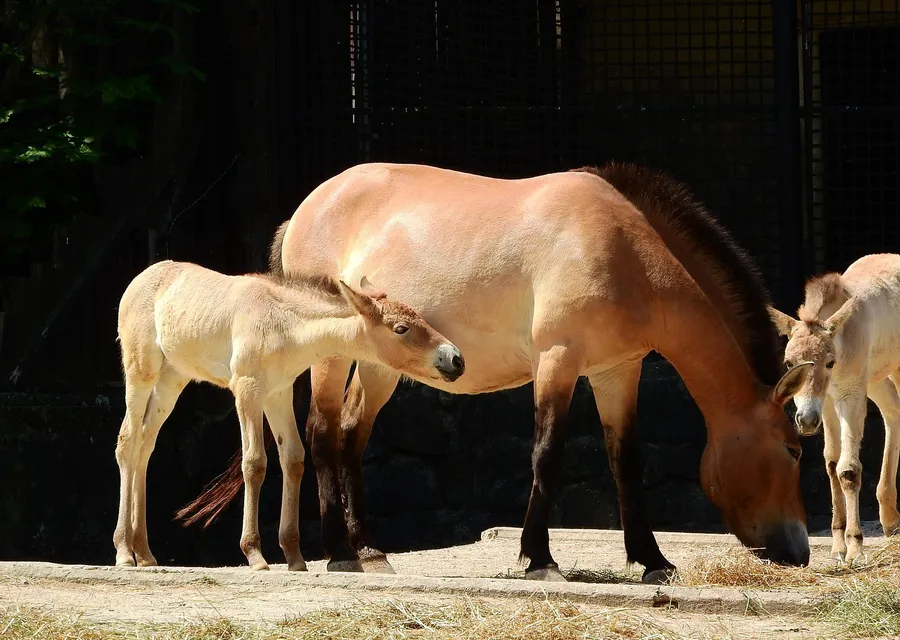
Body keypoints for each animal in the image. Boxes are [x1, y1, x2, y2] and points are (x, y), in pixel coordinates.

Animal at [113, 259, 464, 571]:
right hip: (141, 372)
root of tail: (141, 277)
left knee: (145, 444)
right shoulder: (247, 391)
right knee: (127, 442)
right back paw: (124, 551)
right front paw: (254, 554)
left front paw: (294, 557)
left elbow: (293, 459)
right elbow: (255, 463)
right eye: (401, 328)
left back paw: (144, 552)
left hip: (172, 379)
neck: (284, 325)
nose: (455, 359)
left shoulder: (278, 394)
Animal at [176, 162, 812, 583]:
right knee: (324, 432)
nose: (800, 550)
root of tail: (310, 205)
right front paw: (538, 558)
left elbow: (625, 462)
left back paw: (369, 550)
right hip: (334, 356)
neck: (623, 249)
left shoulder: (617, 371)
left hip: (382, 366)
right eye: (793, 448)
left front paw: (652, 560)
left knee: (352, 434)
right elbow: (546, 455)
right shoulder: (559, 361)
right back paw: (338, 551)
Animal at [769, 253, 900, 562]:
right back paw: (890, 518)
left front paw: (855, 546)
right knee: (893, 412)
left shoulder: (850, 395)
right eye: (789, 363)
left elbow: (848, 469)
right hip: (876, 378)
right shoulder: (827, 401)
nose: (805, 421)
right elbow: (831, 463)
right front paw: (838, 545)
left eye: (829, 362)